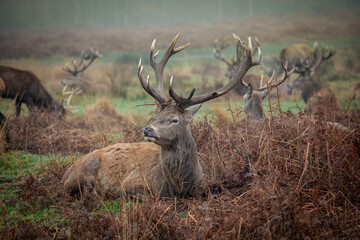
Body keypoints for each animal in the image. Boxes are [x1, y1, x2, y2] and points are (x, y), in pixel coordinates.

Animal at [62, 33, 262, 199]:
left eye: (175, 120)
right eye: (155, 116)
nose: (147, 129)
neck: (178, 186)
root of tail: (65, 173)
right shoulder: (129, 185)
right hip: (81, 174)